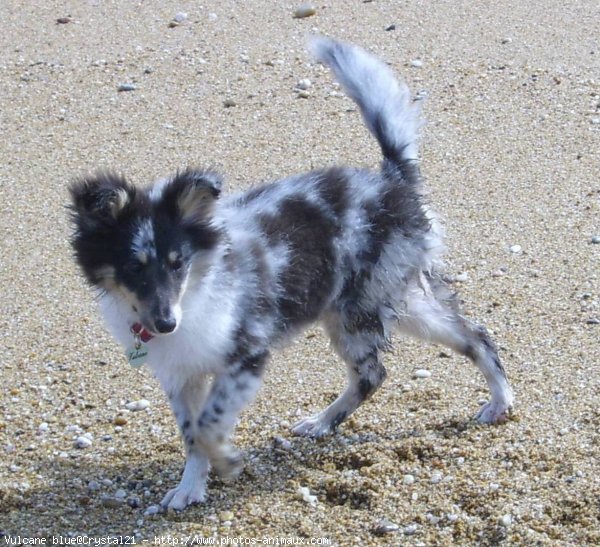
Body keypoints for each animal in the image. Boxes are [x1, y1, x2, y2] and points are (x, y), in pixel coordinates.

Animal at [68, 36, 512, 512]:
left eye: (177, 263)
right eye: (133, 267)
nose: (166, 323)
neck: (195, 293)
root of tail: (391, 182)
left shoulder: (246, 353)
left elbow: (209, 424)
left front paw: (225, 462)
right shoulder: (181, 373)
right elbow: (190, 434)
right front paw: (189, 487)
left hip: (363, 306)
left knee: (410, 359)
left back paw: (499, 401)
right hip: (387, 301)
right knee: (448, 341)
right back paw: (324, 422)